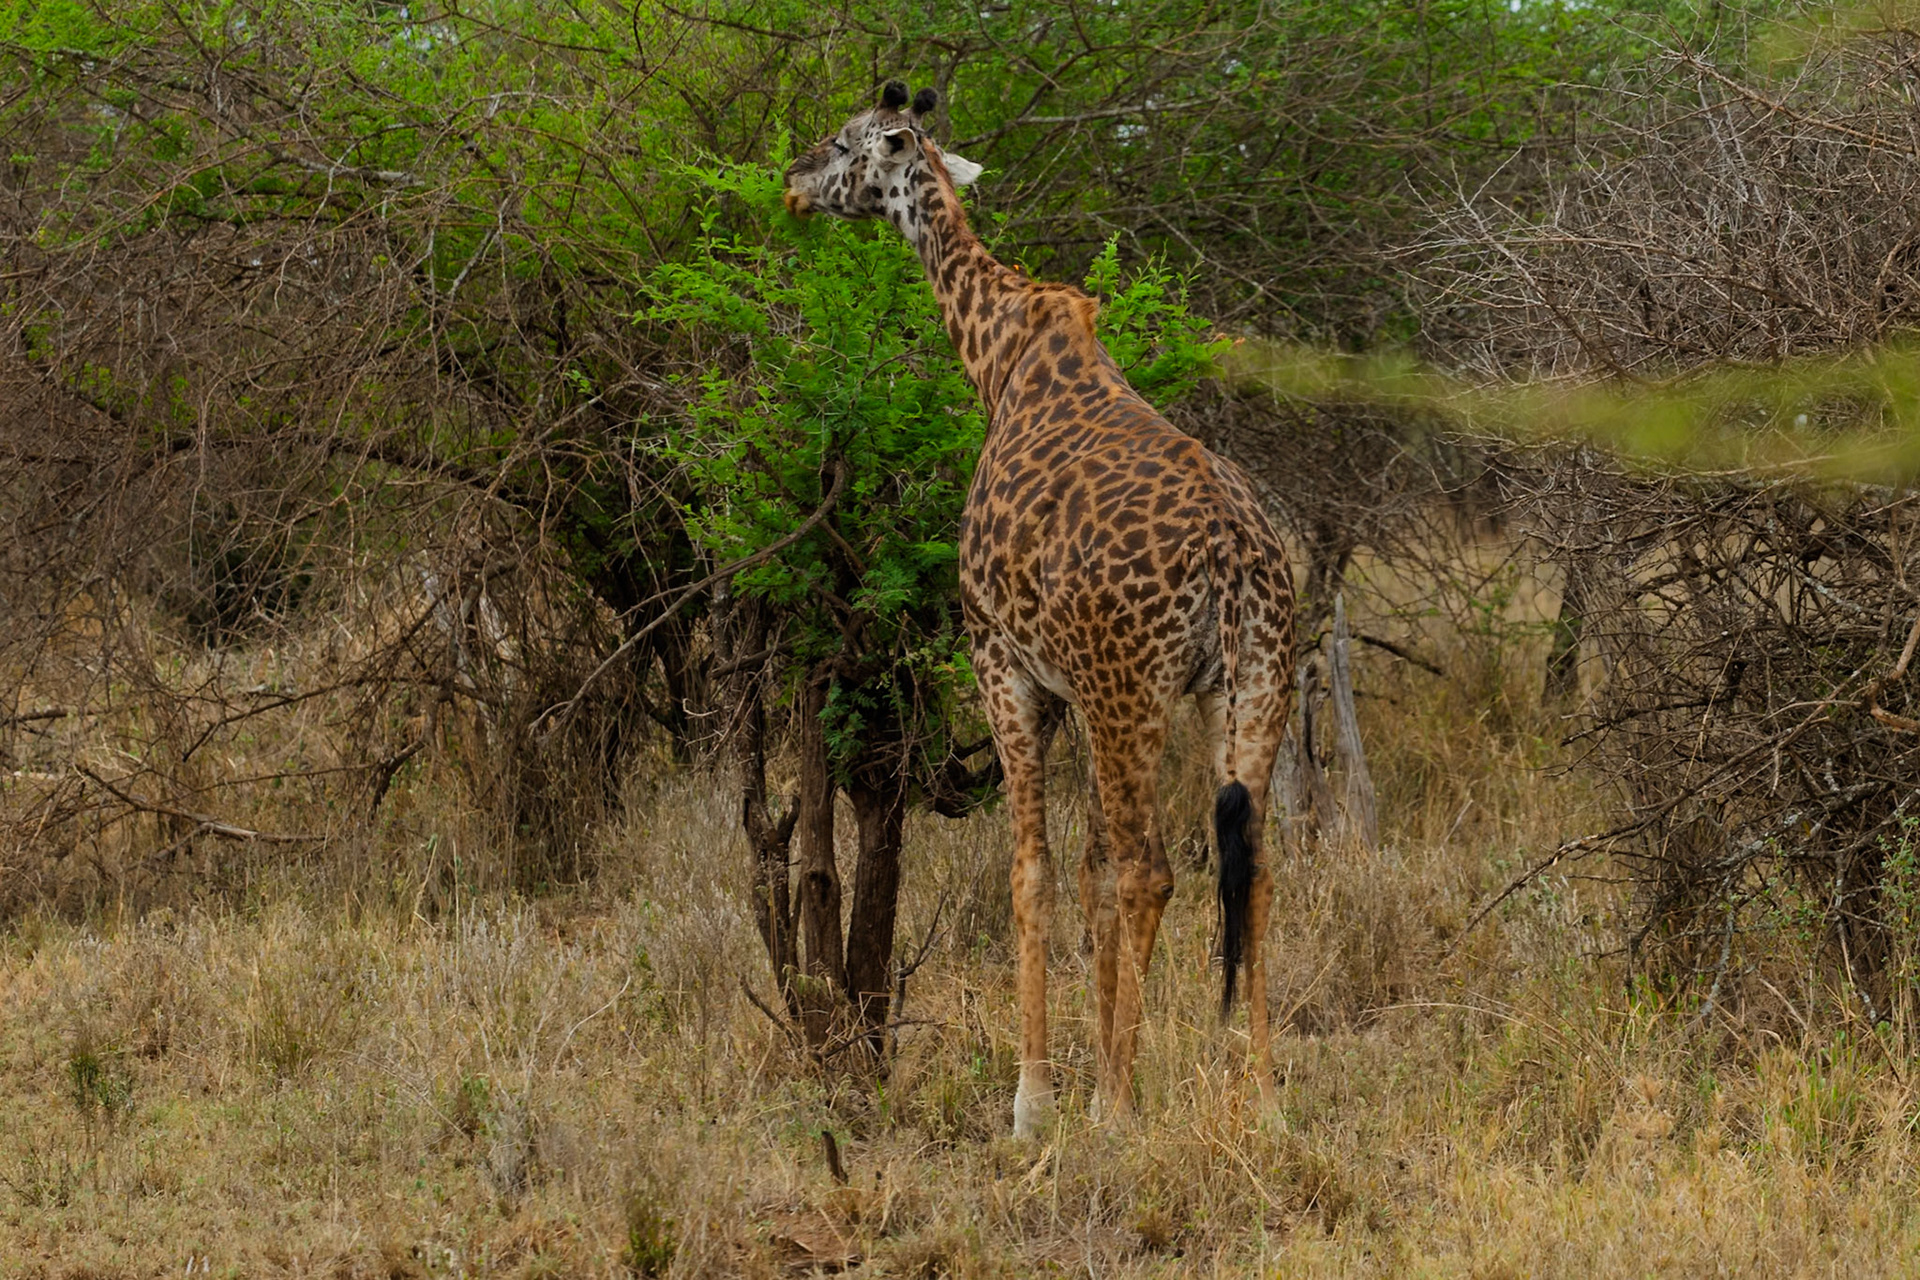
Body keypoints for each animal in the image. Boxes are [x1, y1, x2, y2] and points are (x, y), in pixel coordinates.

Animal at [783, 81, 1296, 1137]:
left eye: (848, 144)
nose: (793, 184)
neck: (995, 355)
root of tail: (1234, 555)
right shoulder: (1073, 688)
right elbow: (1088, 875)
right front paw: (1101, 1068)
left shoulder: (1008, 666)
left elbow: (1033, 875)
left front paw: (1041, 1098)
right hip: (1246, 688)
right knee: (1253, 867)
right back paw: (1263, 1096)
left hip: (1132, 691)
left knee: (1152, 870)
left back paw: (1115, 1111)